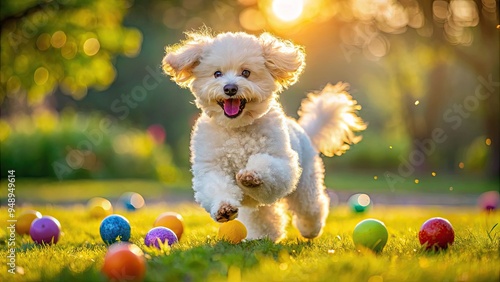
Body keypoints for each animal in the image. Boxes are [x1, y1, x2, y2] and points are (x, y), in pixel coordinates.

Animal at [162, 31, 366, 242]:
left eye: (246, 73)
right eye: (217, 73)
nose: (230, 88)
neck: (237, 128)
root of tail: (303, 131)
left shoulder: (282, 162)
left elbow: (267, 165)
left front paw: (252, 175)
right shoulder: (211, 168)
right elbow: (216, 185)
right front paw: (224, 208)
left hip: (305, 183)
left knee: (312, 206)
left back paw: (310, 229)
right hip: (260, 206)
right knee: (264, 215)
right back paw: (265, 235)